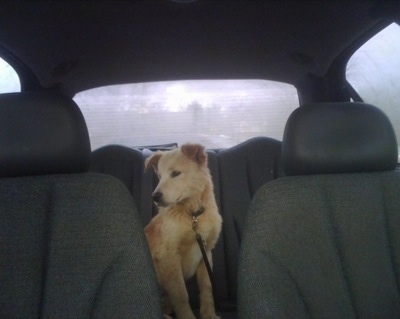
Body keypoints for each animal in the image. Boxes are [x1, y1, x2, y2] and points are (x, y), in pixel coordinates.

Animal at [144, 144, 222, 319]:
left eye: (175, 173)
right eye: (159, 176)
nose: (154, 197)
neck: (192, 215)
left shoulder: (206, 252)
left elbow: (207, 287)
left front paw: (209, 314)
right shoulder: (168, 257)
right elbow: (181, 295)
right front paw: (187, 316)